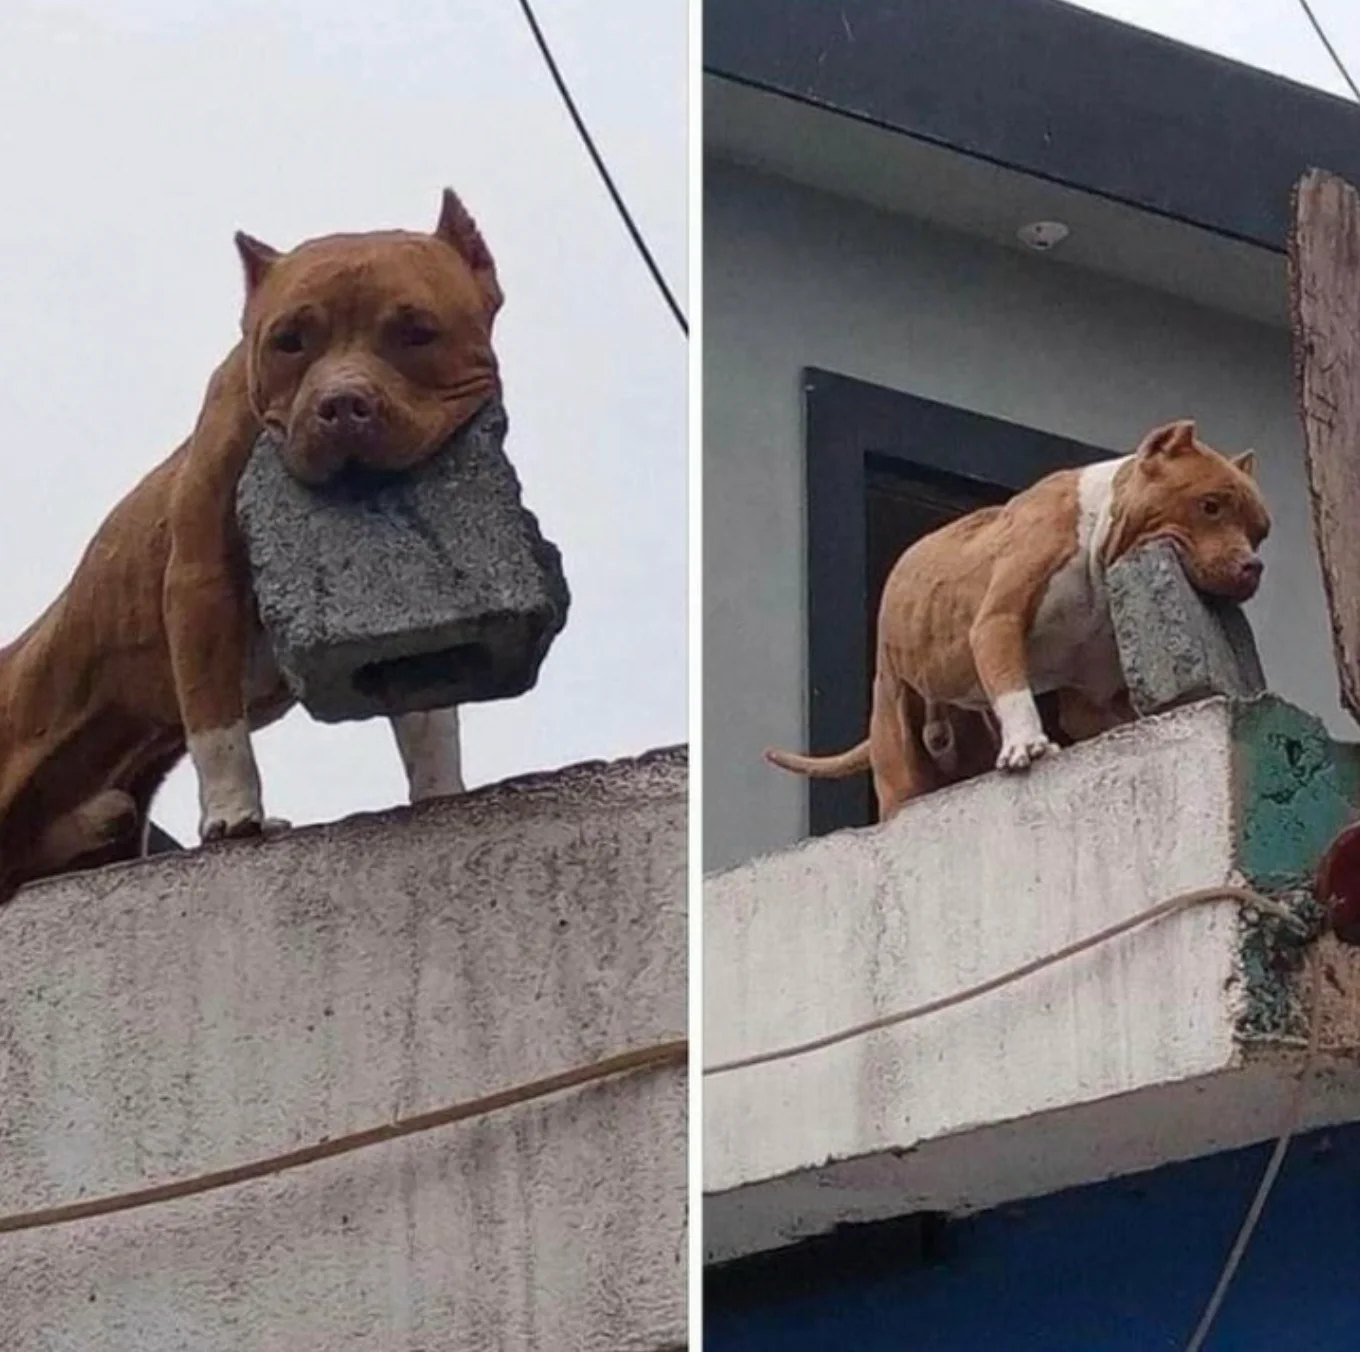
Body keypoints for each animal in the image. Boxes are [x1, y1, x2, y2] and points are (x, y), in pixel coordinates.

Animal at [0, 190, 505, 903]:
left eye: (416, 333)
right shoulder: (199, 581)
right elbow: (216, 720)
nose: (341, 404)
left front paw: (441, 793)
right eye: (288, 343)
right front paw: (235, 817)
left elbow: (428, 716)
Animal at [767, 421, 1272, 816]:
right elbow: (1013, 688)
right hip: (897, 733)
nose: (1253, 567)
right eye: (1210, 506)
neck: (1095, 537)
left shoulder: (1091, 697)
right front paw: (1027, 743)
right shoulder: (998, 621)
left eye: (1260, 532)